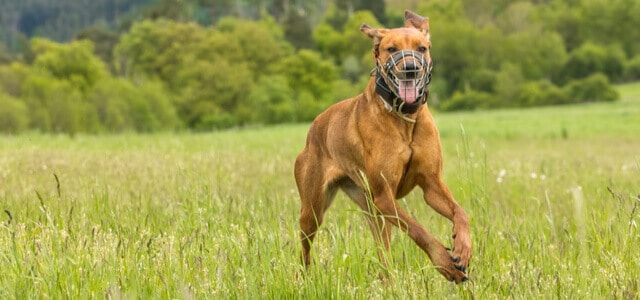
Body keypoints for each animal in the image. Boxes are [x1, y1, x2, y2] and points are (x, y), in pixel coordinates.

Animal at [296, 9, 470, 284]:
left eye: (422, 48)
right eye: (391, 48)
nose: (410, 68)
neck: (403, 116)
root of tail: (314, 128)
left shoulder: (431, 184)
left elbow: (460, 213)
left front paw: (463, 248)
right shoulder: (385, 196)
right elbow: (418, 230)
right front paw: (445, 262)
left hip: (374, 214)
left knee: (383, 252)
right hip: (313, 210)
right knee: (305, 247)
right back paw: (305, 278)